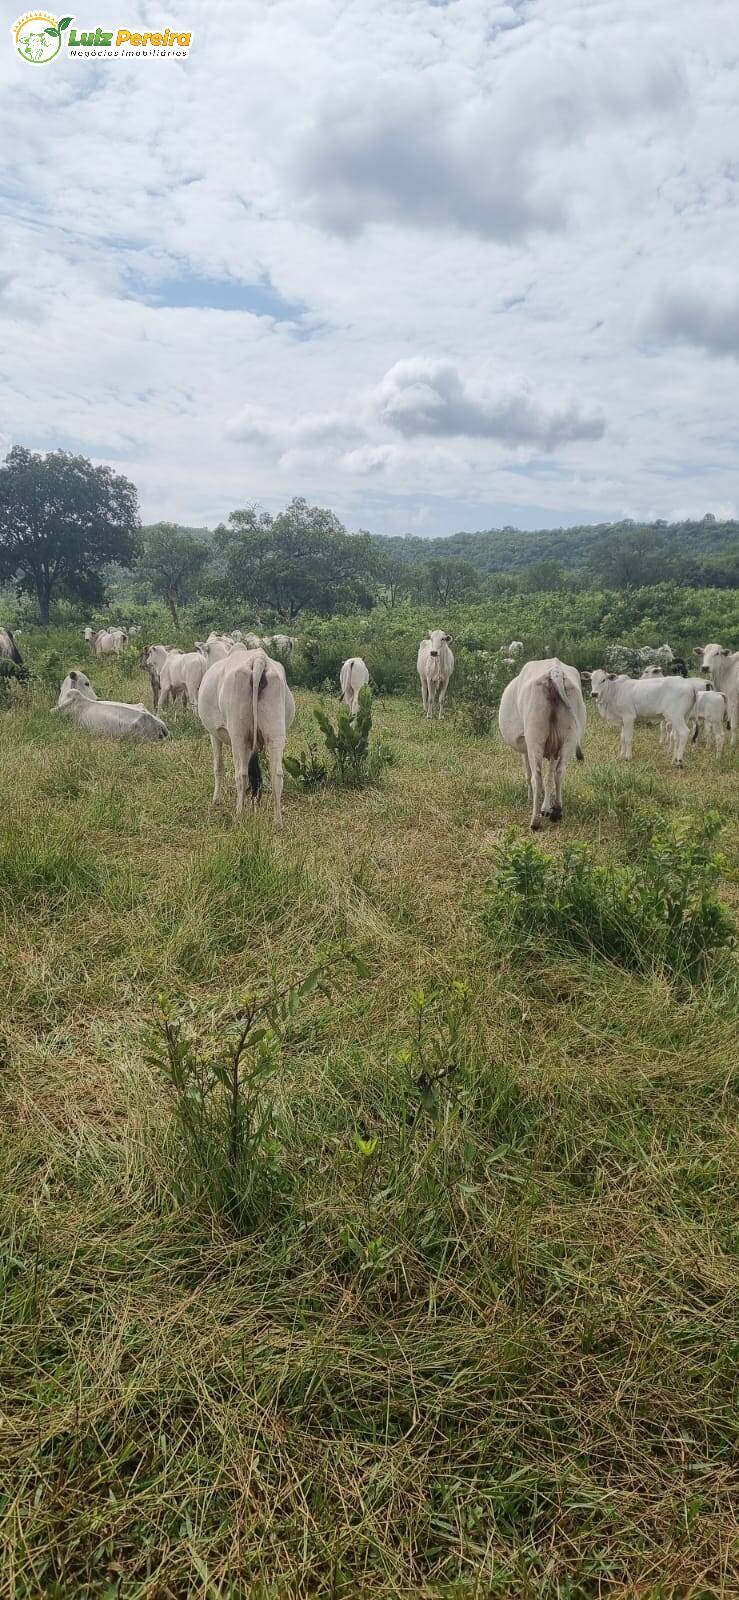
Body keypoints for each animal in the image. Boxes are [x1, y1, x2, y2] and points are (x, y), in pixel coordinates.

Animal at [200, 646, 299, 825]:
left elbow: (218, 766)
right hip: (276, 734)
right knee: (277, 774)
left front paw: (217, 799)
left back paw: (239, 815)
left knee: (241, 774)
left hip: (238, 735)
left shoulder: (214, 734)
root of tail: (258, 659)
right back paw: (278, 821)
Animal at [499, 656, 585, 832]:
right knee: (559, 772)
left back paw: (535, 821)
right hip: (569, 738)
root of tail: (555, 671)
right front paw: (546, 808)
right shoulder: (553, 749)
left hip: (534, 739)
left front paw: (532, 801)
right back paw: (557, 810)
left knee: (536, 778)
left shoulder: (525, 748)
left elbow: (528, 773)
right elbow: (550, 776)